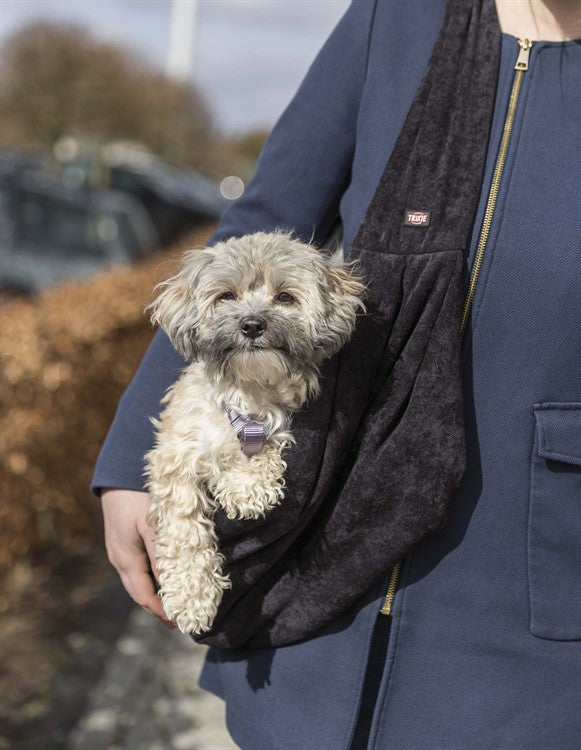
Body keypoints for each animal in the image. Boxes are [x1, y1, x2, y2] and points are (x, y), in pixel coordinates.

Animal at [145, 231, 362, 636]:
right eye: (226, 295)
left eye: (285, 297)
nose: (251, 324)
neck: (251, 391)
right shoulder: (175, 458)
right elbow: (185, 529)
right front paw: (192, 597)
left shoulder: (279, 425)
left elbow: (264, 450)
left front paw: (247, 485)